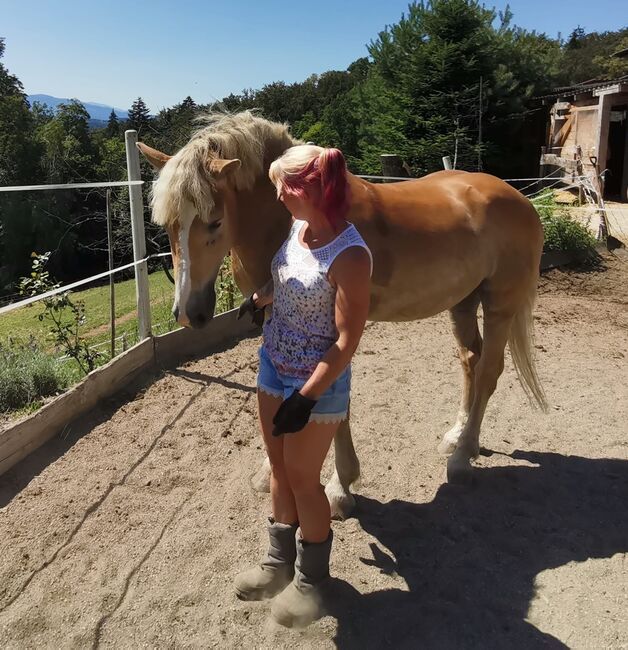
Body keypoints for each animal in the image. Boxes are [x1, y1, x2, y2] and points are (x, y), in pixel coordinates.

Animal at [136, 111, 544, 516]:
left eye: (215, 221)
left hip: (500, 304)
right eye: (167, 224)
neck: (291, 226)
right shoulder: (274, 316)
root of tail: (518, 198)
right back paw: (458, 437)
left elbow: (333, 399)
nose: (188, 313)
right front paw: (270, 469)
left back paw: (461, 458)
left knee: (489, 370)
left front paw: (340, 486)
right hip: (462, 302)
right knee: (471, 360)